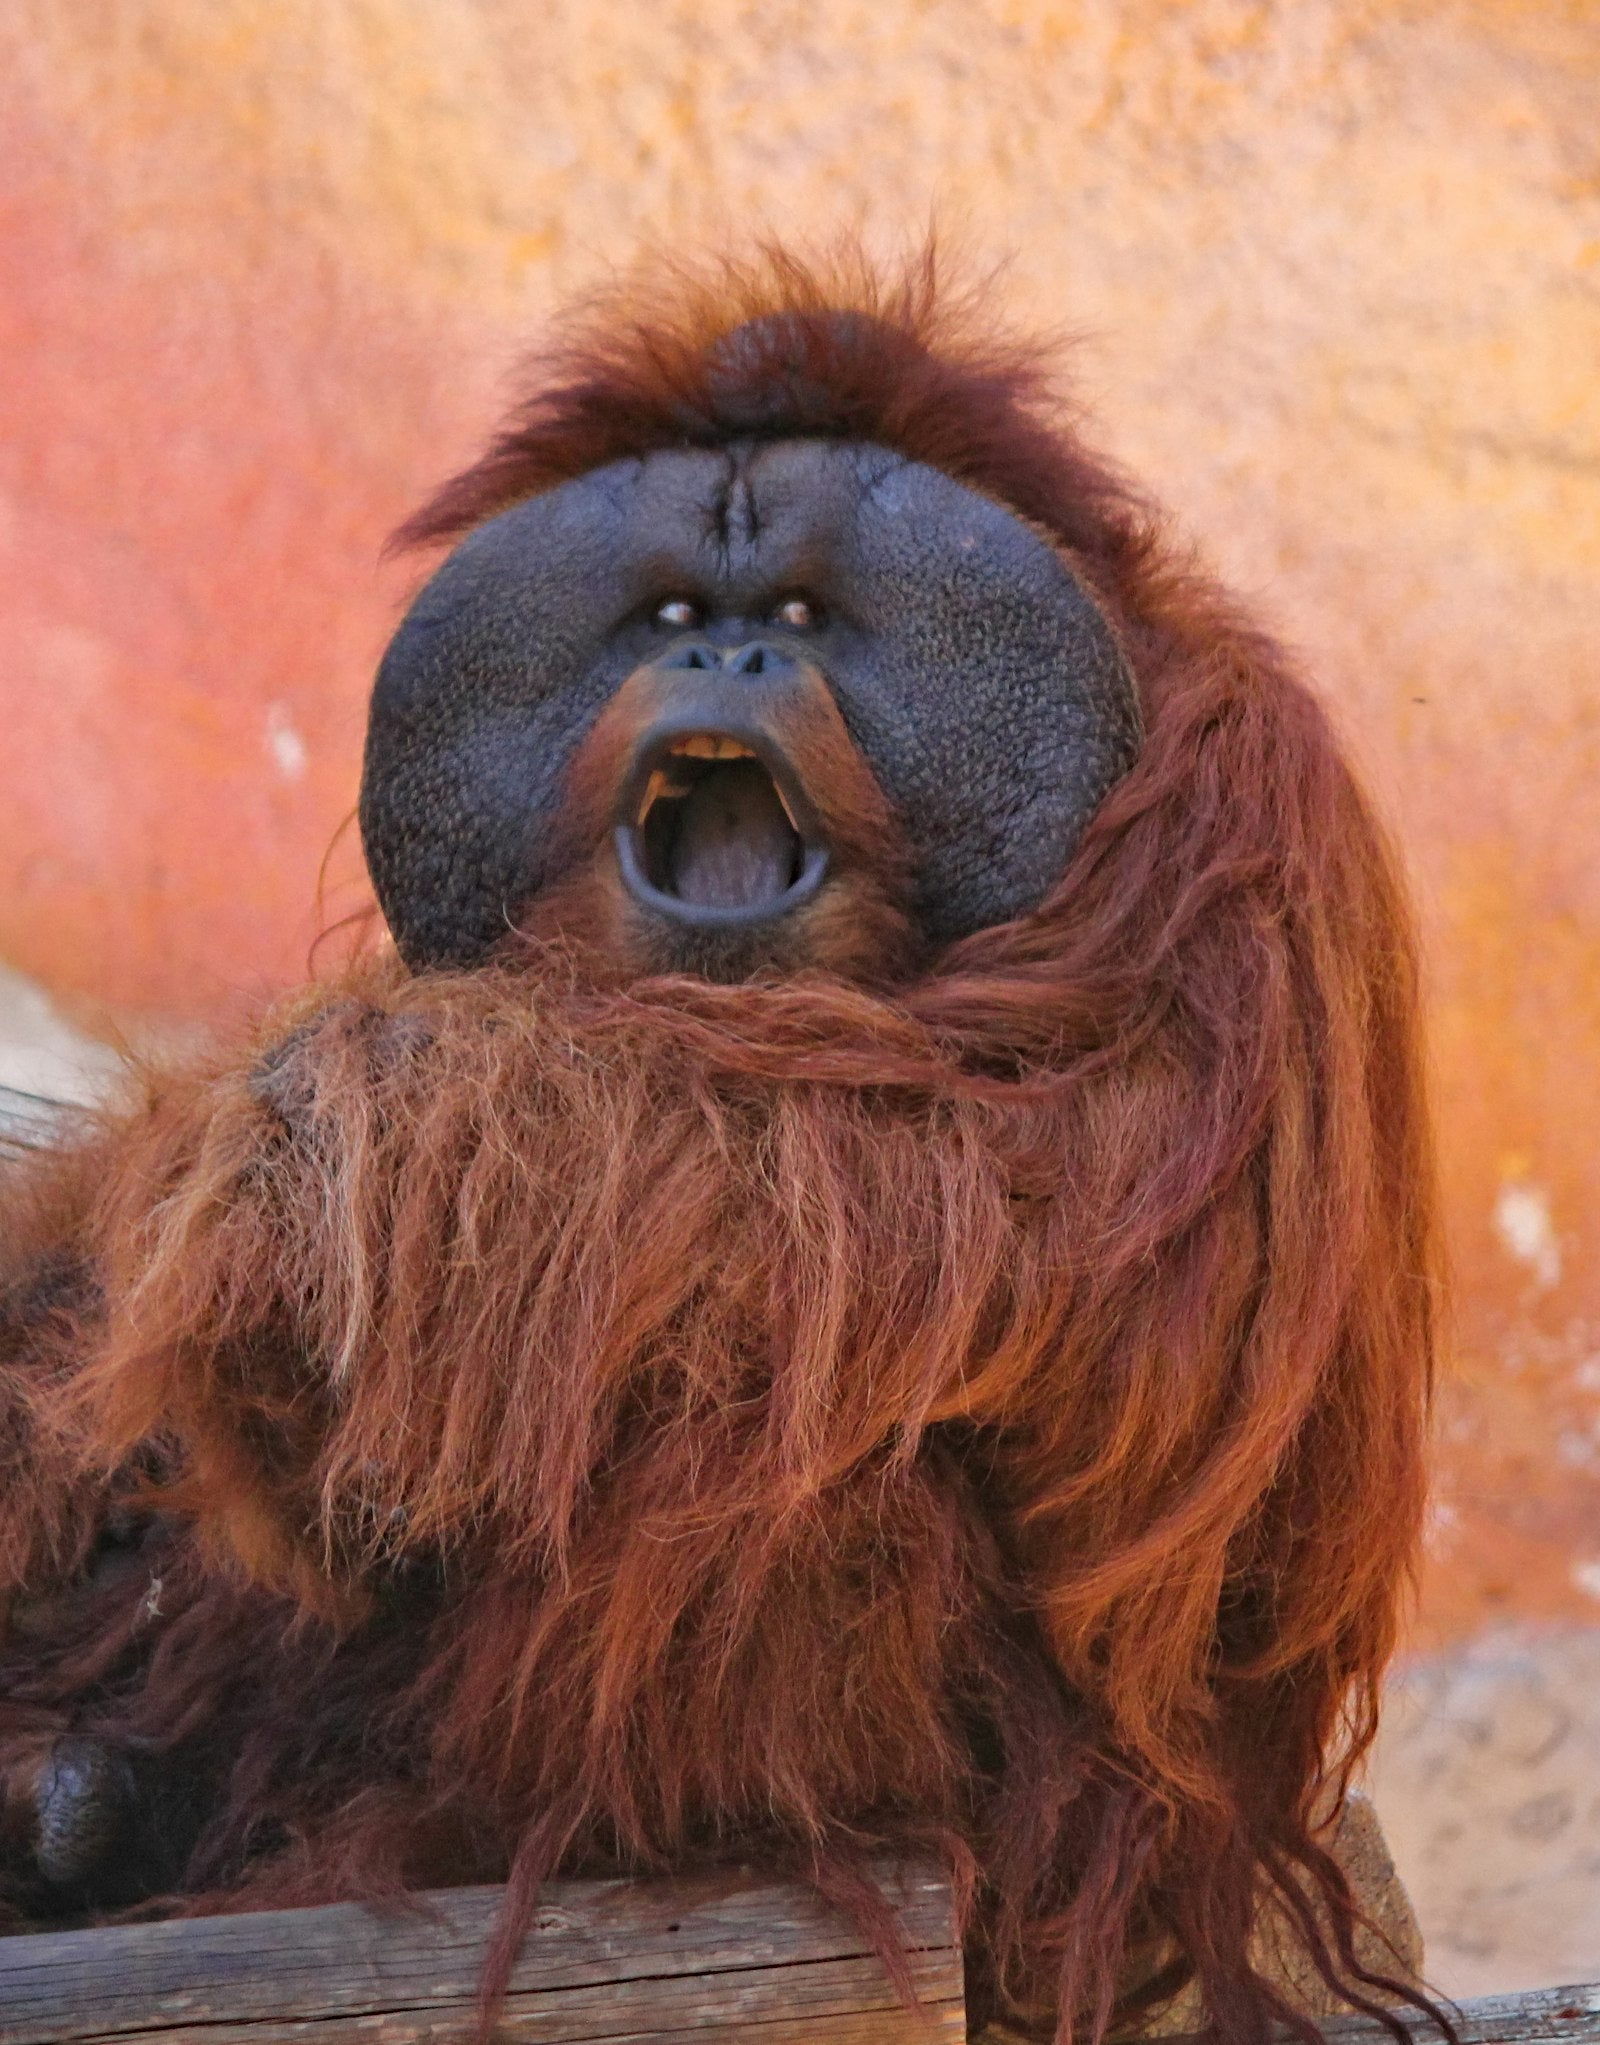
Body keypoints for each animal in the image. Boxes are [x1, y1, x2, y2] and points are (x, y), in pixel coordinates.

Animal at [0, 252, 1439, 2044]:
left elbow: (1001, 1190)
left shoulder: (1236, 831)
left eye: (807, 620)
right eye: (680, 618)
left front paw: (304, 1137)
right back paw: (83, 1805)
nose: (734, 666)